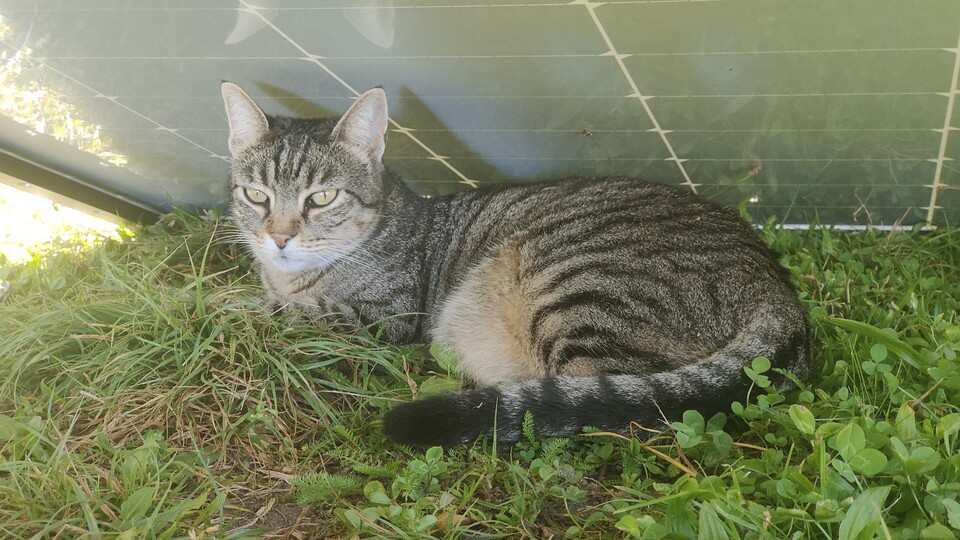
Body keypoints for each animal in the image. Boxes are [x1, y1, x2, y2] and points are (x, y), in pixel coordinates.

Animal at [223, 82, 808, 448]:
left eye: (322, 198)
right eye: (255, 194)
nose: (278, 236)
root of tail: (777, 290)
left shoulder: (384, 316)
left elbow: (285, 313)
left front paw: (218, 306)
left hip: (577, 294)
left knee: (607, 409)